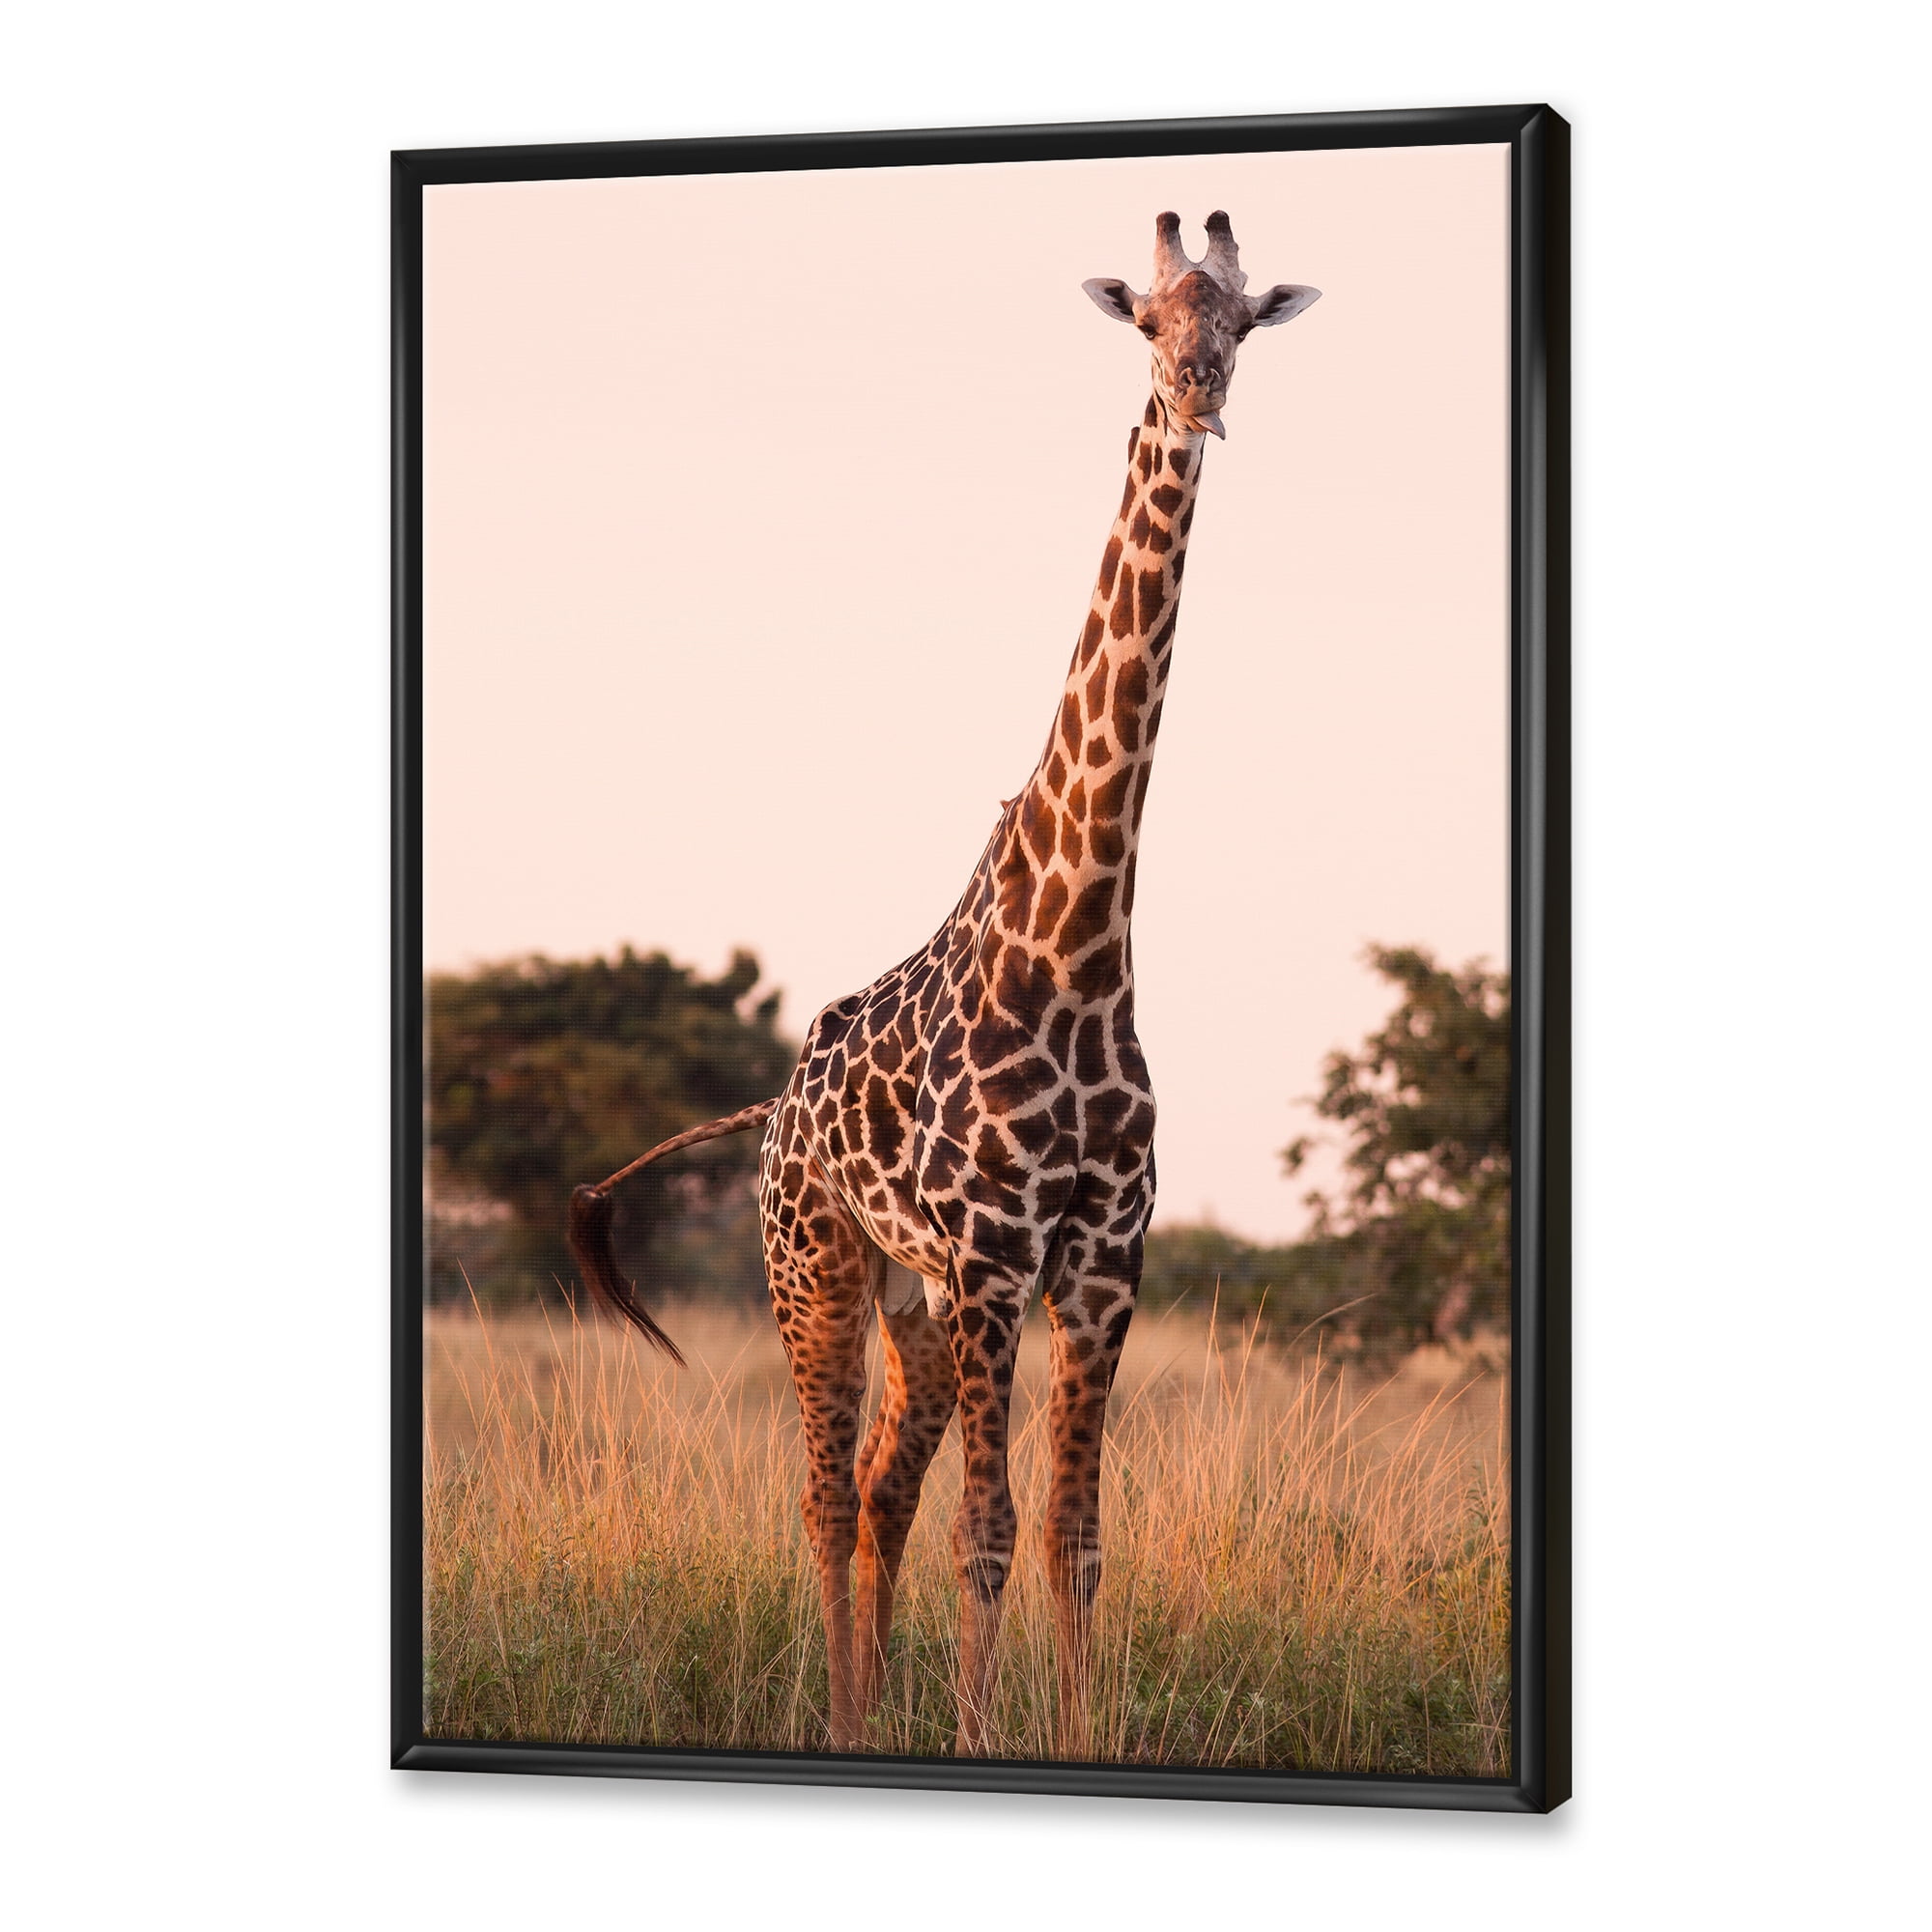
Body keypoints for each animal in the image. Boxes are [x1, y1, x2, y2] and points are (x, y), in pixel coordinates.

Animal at [568, 210, 1320, 1757]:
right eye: (1147, 321)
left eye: (1239, 324)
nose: (1198, 395)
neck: (1080, 951)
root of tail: (772, 1111)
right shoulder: (990, 1258)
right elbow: (993, 1528)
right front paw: (980, 1736)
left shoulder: (1097, 1262)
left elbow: (1073, 1536)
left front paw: (1075, 1735)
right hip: (817, 1268)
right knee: (819, 1495)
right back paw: (840, 1720)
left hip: (908, 1306)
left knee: (875, 1496)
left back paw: (866, 1715)